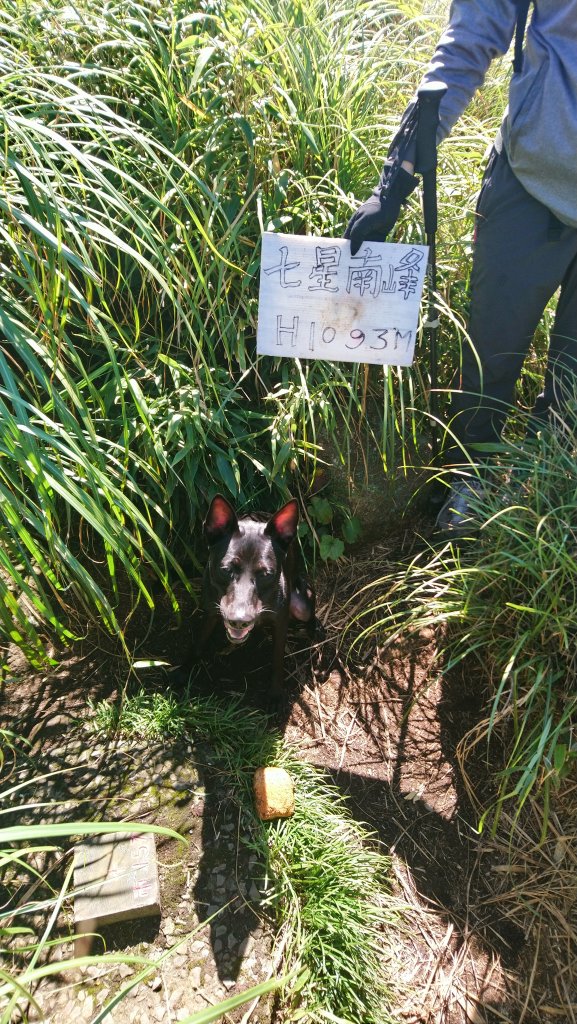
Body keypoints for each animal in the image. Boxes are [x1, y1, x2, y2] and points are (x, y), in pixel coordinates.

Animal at [198, 495, 315, 704]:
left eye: (266, 574)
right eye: (226, 569)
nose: (239, 621)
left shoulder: (280, 622)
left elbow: (277, 660)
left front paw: (275, 695)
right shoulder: (210, 611)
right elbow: (200, 641)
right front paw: (184, 671)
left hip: (302, 607)